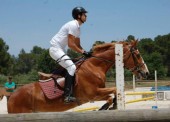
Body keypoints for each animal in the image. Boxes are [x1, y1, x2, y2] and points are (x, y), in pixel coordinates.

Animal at [7, 40, 149, 113]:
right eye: (137, 55)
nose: (146, 72)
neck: (94, 67)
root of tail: (12, 96)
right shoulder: (92, 94)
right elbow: (114, 91)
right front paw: (106, 107)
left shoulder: (96, 94)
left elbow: (114, 93)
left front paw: (110, 106)